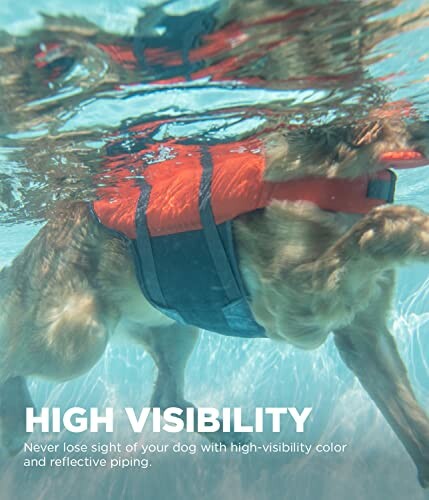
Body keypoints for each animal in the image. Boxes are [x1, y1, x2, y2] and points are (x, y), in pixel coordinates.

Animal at [0, 0, 428, 488]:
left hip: (176, 320)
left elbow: (411, 423)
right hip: (74, 340)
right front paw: (414, 230)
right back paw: (14, 418)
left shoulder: (364, 334)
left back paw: (223, 433)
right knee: (11, 360)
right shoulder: (296, 307)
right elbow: (376, 230)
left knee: (163, 397)